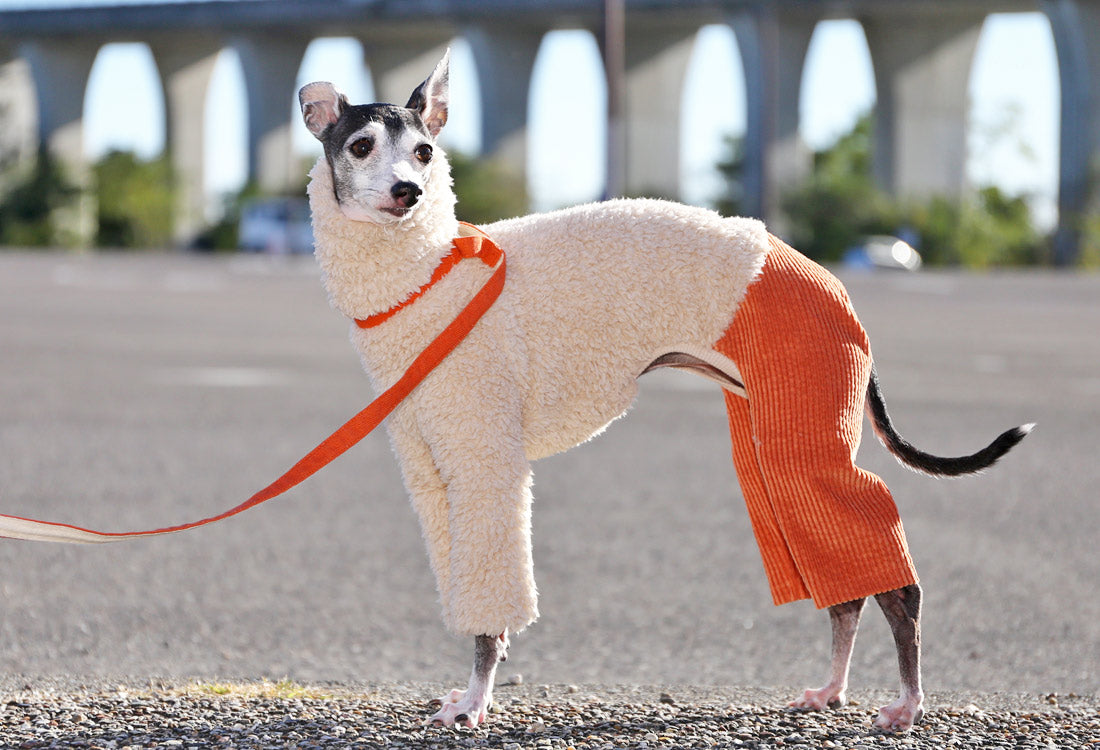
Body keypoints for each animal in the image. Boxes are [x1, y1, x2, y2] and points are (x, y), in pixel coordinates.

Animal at [294, 51, 1029, 730]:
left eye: (424, 151)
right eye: (360, 146)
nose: (408, 192)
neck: (430, 275)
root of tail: (835, 288)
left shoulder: (485, 465)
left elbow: (491, 613)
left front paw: (475, 703)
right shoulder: (431, 470)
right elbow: (472, 596)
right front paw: (468, 693)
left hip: (805, 433)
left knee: (897, 586)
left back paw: (907, 703)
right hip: (774, 443)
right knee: (845, 587)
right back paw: (831, 690)